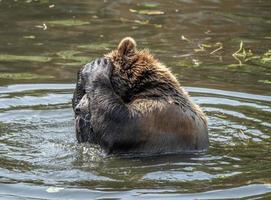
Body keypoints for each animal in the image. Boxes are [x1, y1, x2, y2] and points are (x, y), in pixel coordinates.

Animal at [71, 37, 208, 155]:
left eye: (88, 94)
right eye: (85, 90)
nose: (78, 109)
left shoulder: (158, 115)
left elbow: (118, 128)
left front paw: (96, 66)